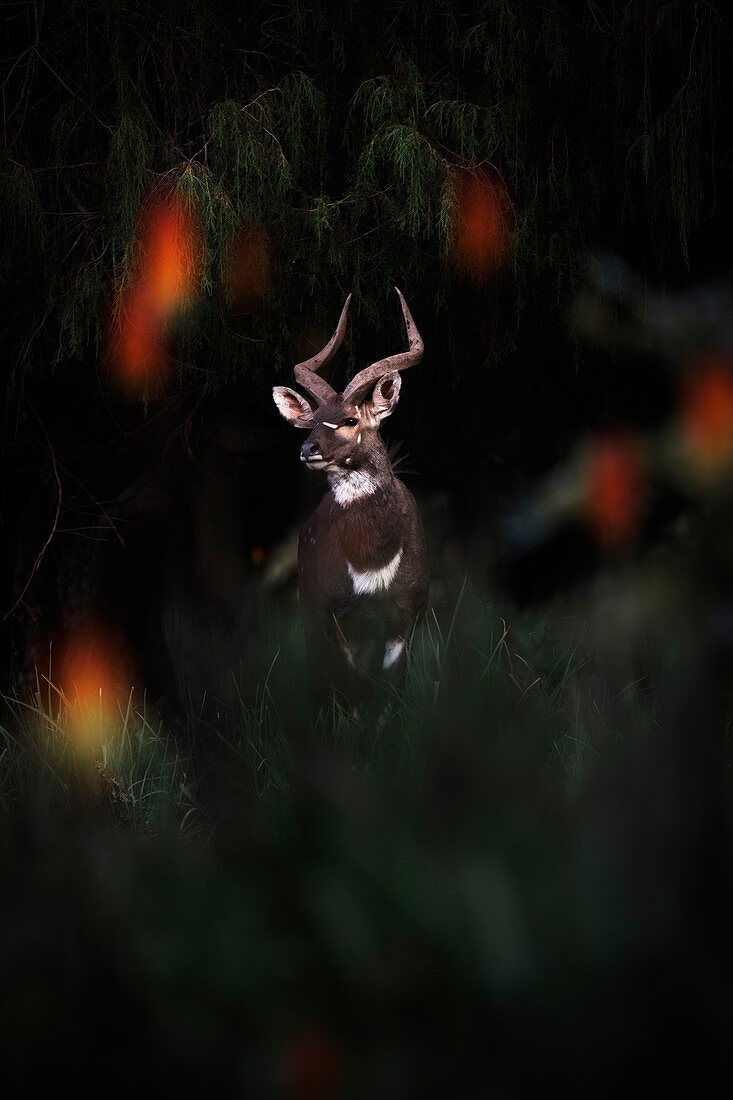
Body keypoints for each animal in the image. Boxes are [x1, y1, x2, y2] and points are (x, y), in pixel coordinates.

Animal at [270, 290, 424, 704]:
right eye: (312, 419)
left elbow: (391, 686)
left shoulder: (403, 613)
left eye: (351, 419)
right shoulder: (331, 615)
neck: (372, 563)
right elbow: (352, 686)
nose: (308, 449)